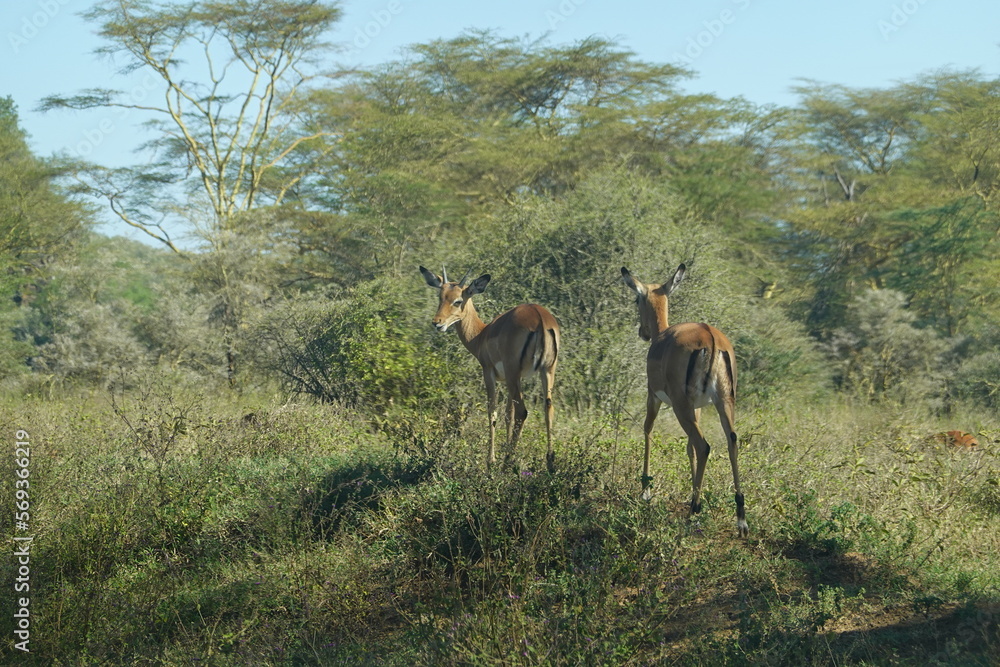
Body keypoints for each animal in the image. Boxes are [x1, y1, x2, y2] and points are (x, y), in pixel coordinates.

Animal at [419, 266, 560, 473]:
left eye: (458, 300)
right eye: (440, 296)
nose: (437, 322)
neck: (481, 334)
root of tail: (540, 318)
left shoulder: (489, 372)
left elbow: (492, 411)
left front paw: (491, 461)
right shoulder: (514, 378)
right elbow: (508, 415)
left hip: (515, 372)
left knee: (523, 412)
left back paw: (508, 461)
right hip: (546, 371)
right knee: (547, 407)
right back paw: (549, 462)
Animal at [621, 265, 748, 537]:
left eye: (637, 298)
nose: (642, 332)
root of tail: (711, 338)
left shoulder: (653, 395)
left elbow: (647, 430)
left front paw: (645, 491)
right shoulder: (697, 407)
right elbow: (688, 448)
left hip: (681, 406)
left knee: (704, 445)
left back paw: (694, 512)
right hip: (724, 401)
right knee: (731, 441)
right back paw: (741, 519)